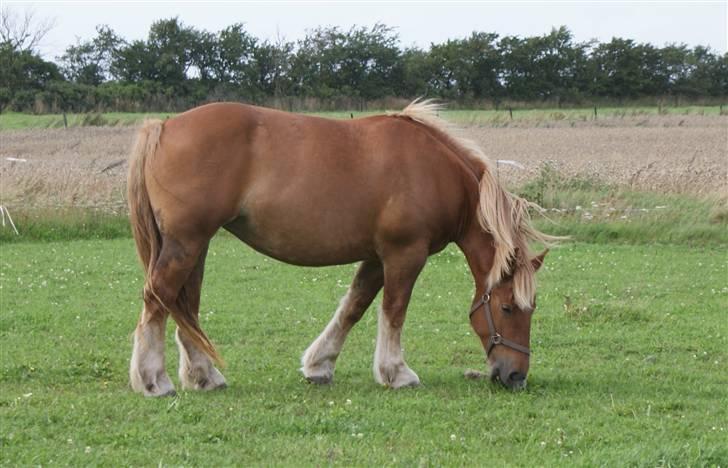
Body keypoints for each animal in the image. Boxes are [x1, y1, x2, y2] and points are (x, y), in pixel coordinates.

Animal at [128, 100, 556, 396]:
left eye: (531, 308)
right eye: (507, 307)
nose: (515, 375)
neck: (434, 171)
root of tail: (163, 126)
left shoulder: (376, 257)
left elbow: (354, 306)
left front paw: (320, 365)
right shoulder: (405, 254)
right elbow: (393, 311)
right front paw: (396, 372)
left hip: (194, 246)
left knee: (184, 307)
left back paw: (203, 377)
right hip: (187, 244)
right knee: (158, 298)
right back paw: (153, 381)